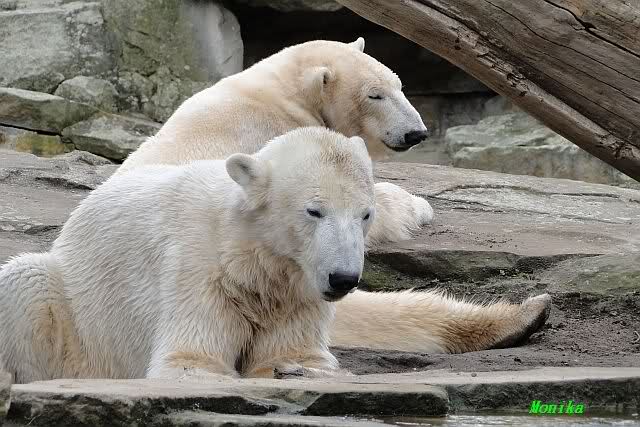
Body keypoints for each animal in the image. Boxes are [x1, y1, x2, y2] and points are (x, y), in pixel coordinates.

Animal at [0, 128, 551, 383]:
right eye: (314, 210)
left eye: (365, 215)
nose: (344, 277)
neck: (251, 257)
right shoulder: (197, 270)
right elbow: (190, 359)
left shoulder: (299, 290)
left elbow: (295, 352)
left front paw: (296, 370)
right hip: (77, 311)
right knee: (29, 284)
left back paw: (527, 313)